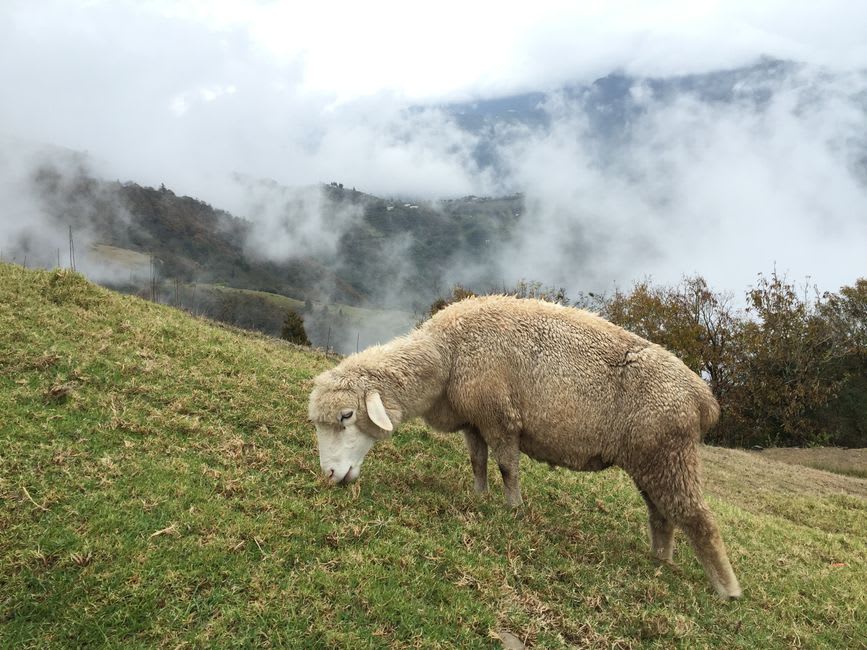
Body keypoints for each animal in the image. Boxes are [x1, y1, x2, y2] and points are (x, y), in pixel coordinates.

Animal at [308, 295, 741, 599]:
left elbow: (507, 467)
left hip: (670, 454)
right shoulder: (475, 422)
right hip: (652, 459)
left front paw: (513, 508)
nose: (329, 475)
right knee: (662, 515)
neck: (447, 355)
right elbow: (477, 462)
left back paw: (728, 590)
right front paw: (480, 497)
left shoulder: (500, 418)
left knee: (699, 519)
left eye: (346, 415)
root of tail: (703, 398)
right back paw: (660, 561)